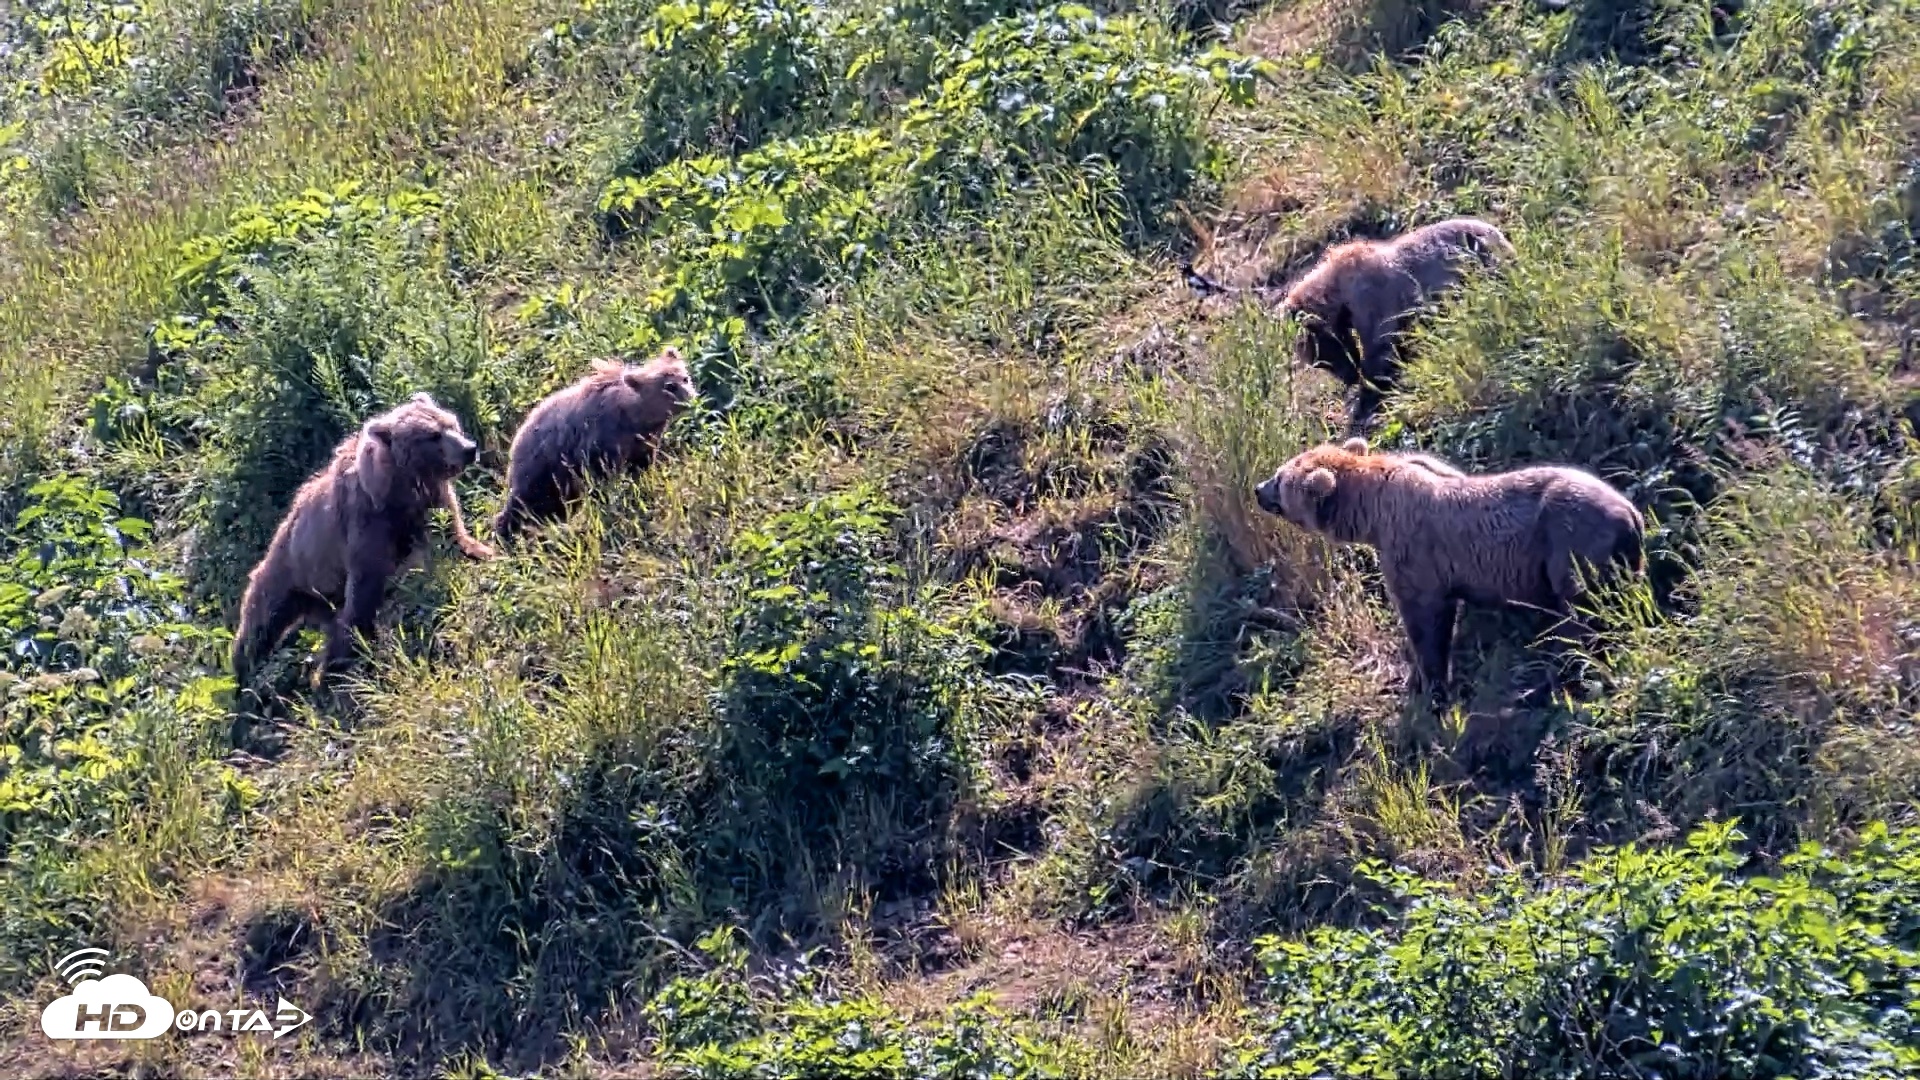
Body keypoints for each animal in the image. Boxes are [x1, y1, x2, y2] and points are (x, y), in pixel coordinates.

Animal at [231, 392, 495, 687]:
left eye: (452, 423)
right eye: (434, 435)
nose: (469, 448)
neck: (400, 489)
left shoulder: (429, 504)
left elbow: (454, 537)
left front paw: (485, 552)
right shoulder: (368, 522)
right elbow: (365, 587)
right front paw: (344, 658)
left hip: (321, 596)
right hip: (290, 575)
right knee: (261, 623)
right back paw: (244, 670)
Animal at [491, 346, 697, 541]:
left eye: (685, 378)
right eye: (669, 386)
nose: (691, 399)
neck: (633, 416)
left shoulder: (643, 440)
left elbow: (642, 466)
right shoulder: (598, 442)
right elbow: (600, 476)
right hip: (541, 467)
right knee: (524, 503)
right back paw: (505, 533)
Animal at [1184, 217, 1514, 432]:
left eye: (1320, 355)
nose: (1348, 376)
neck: (1338, 294)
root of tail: (1502, 237)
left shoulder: (1375, 300)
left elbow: (1382, 352)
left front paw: (1365, 400)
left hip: (1482, 264)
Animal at [1254, 437, 1643, 699]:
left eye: (1280, 478)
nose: (1258, 489)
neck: (1372, 512)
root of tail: (1630, 513)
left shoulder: (1413, 550)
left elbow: (1425, 618)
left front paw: (1429, 684)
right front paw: (1417, 678)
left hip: (1569, 540)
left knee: (1582, 610)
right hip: (1621, 558)